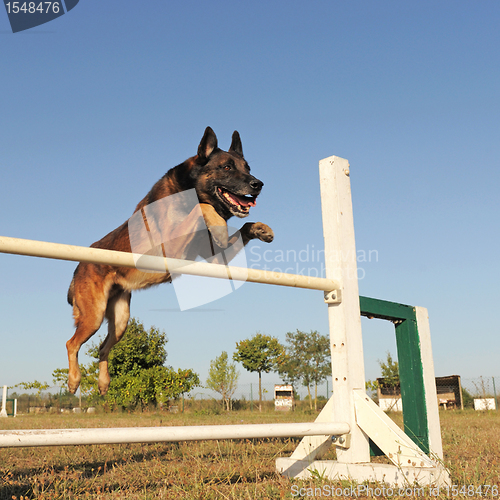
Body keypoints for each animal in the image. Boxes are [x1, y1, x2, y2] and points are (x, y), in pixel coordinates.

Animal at [66, 128, 274, 394]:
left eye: (247, 168)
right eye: (227, 167)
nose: (258, 184)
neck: (188, 188)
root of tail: (78, 267)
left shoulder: (216, 259)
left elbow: (241, 225)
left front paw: (259, 229)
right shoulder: (169, 250)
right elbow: (202, 208)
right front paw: (217, 220)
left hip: (120, 320)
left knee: (102, 348)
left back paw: (103, 382)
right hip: (93, 315)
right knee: (71, 343)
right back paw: (74, 379)